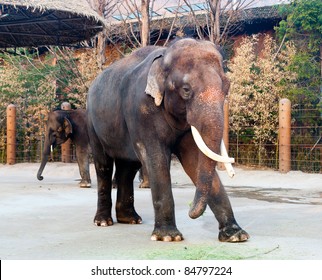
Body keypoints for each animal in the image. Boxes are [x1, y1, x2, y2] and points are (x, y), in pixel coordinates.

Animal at [86, 38, 249, 243]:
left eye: (226, 88)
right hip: (93, 125)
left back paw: (130, 219)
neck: (164, 56)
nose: (190, 212)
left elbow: (194, 160)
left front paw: (236, 235)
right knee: (104, 166)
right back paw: (103, 222)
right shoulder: (142, 109)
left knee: (128, 167)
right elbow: (155, 157)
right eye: (186, 90)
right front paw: (169, 237)